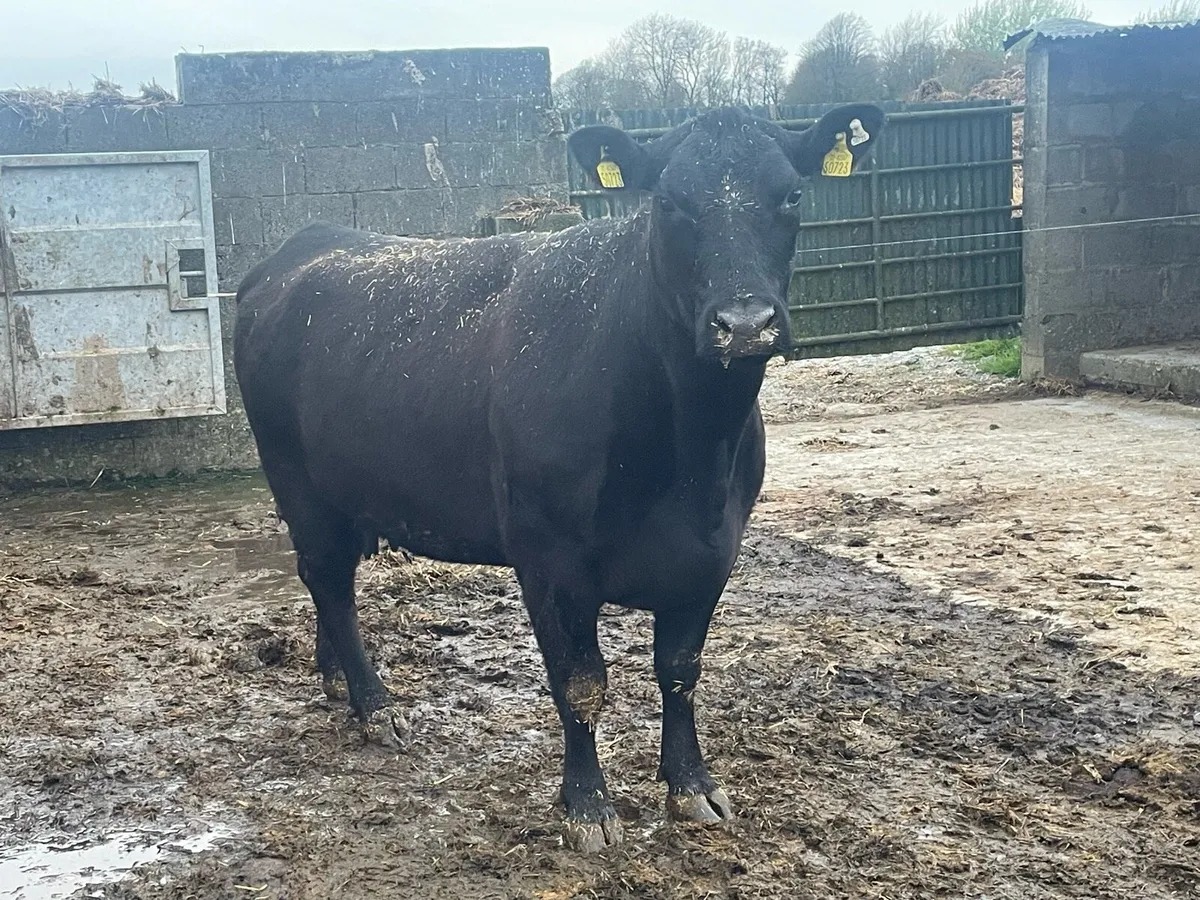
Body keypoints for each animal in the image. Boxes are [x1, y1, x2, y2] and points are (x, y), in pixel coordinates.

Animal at [233, 103, 884, 852]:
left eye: (792, 195)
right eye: (669, 203)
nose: (744, 323)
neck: (691, 459)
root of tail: (297, 248)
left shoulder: (711, 555)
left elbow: (680, 673)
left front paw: (692, 786)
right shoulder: (549, 559)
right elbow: (580, 683)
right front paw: (588, 807)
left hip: (346, 497)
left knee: (326, 584)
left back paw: (337, 680)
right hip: (297, 484)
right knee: (331, 584)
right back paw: (376, 707)